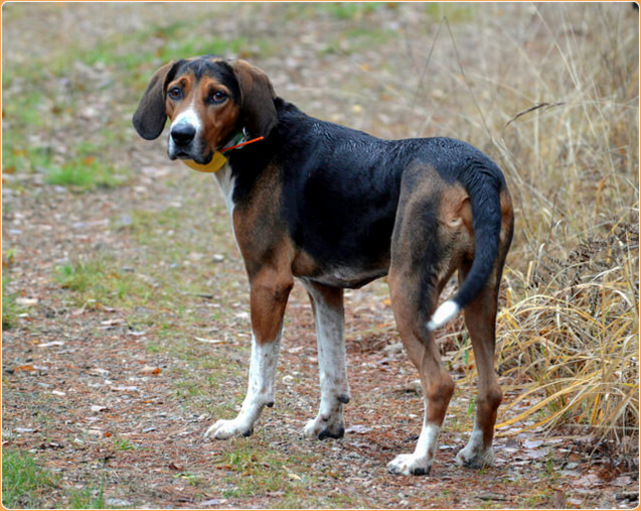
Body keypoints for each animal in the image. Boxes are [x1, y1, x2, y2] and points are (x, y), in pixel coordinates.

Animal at [134, 56, 516, 476]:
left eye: (217, 95)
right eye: (176, 91)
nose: (182, 134)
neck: (255, 141)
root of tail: (474, 168)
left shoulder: (268, 282)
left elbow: (260, 375)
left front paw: (240, 425)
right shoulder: (324, 289)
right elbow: (332, 372)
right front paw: (328, 424)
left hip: (407, 289)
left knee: (440, 383)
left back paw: (418, 460)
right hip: (482, 290)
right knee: (491, 388)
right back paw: (477, 453)